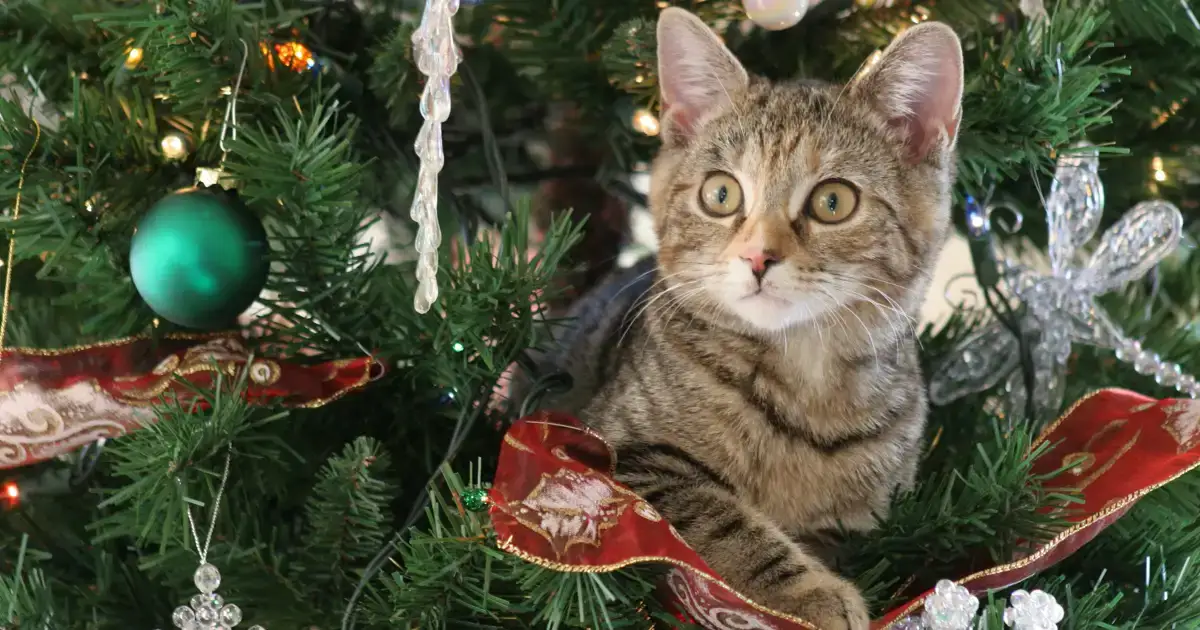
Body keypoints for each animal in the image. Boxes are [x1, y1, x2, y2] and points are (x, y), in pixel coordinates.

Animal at [530, 9, 960, 628]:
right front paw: (812, 593)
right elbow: (722, 519)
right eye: (720, 194)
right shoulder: (614, 451)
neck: (804, 381)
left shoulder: (869, 519)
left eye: (833, 202)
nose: (758, 256)